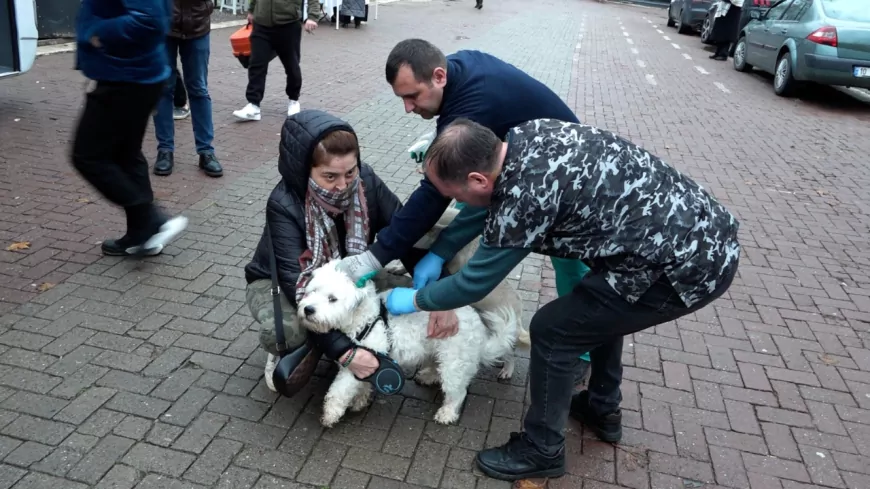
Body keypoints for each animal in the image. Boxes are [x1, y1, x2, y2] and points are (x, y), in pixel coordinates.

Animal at [296, 260, 520, 428]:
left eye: (332, 299)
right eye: (311, 291)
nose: (308, 309)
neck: (364, 318)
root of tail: (479, 328)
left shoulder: (358, 363)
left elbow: (338, 392)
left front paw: (330, 415)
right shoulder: (367, 363)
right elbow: (362, 385)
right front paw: (360, 400)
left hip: (454, 363)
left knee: (458, 392)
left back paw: (447, 413)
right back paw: (428, 376)